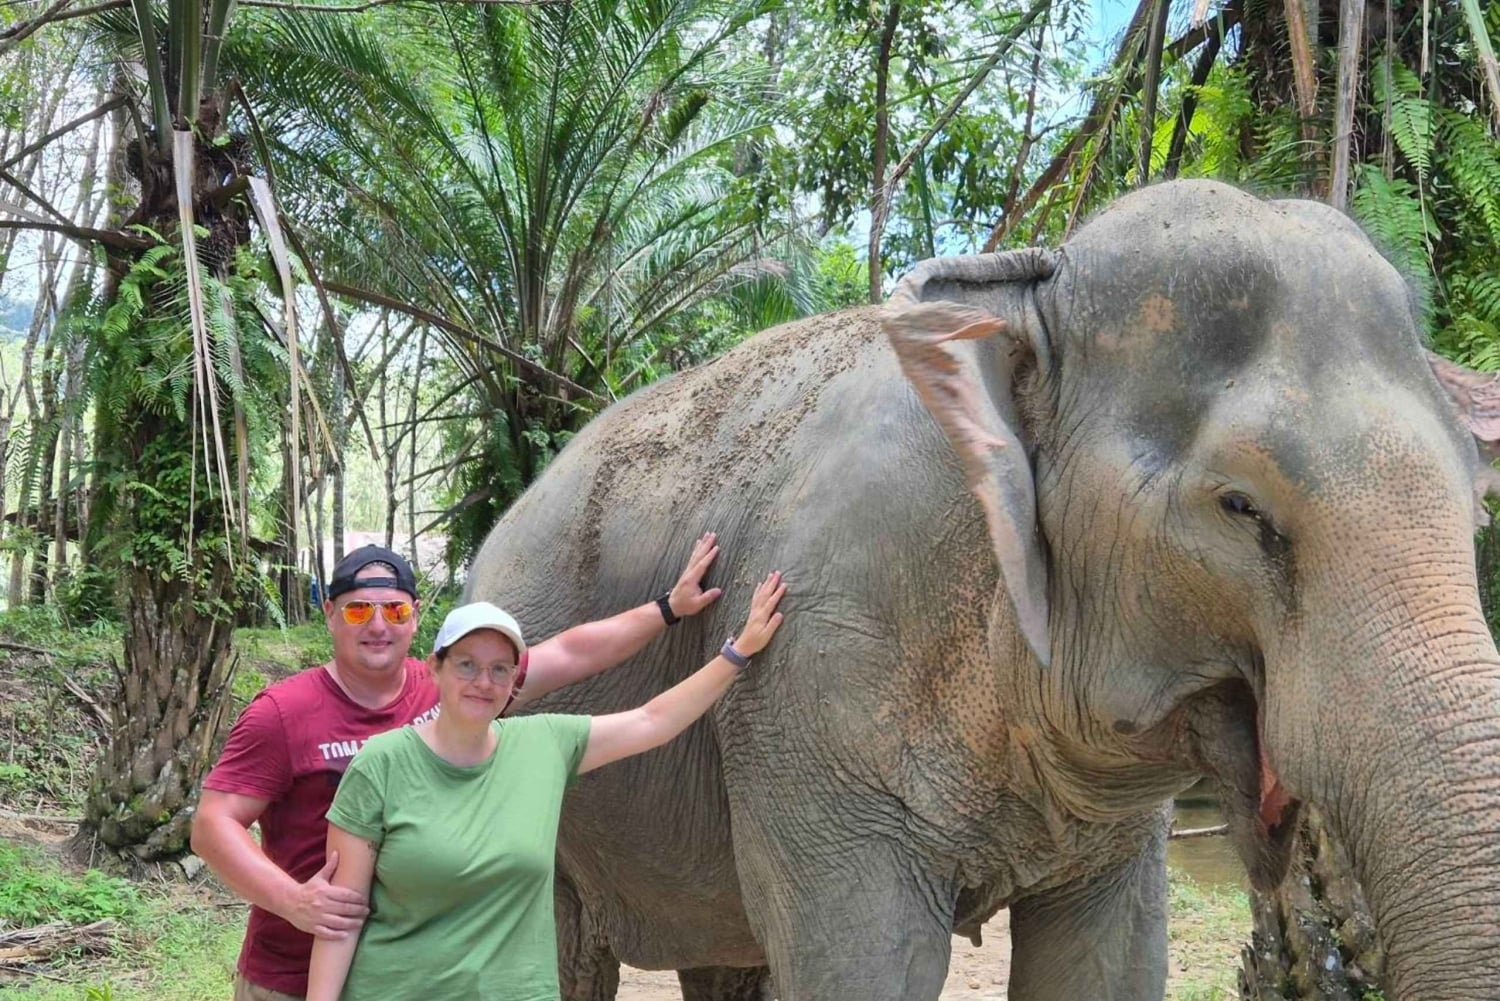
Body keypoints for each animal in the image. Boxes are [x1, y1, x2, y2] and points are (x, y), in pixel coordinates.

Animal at [465, 179, 1500, 1001]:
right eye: (1240, 506)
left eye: (1473, 495)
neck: (1028, 284)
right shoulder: (813, 689)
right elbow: (866, 966)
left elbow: (1105, 967)